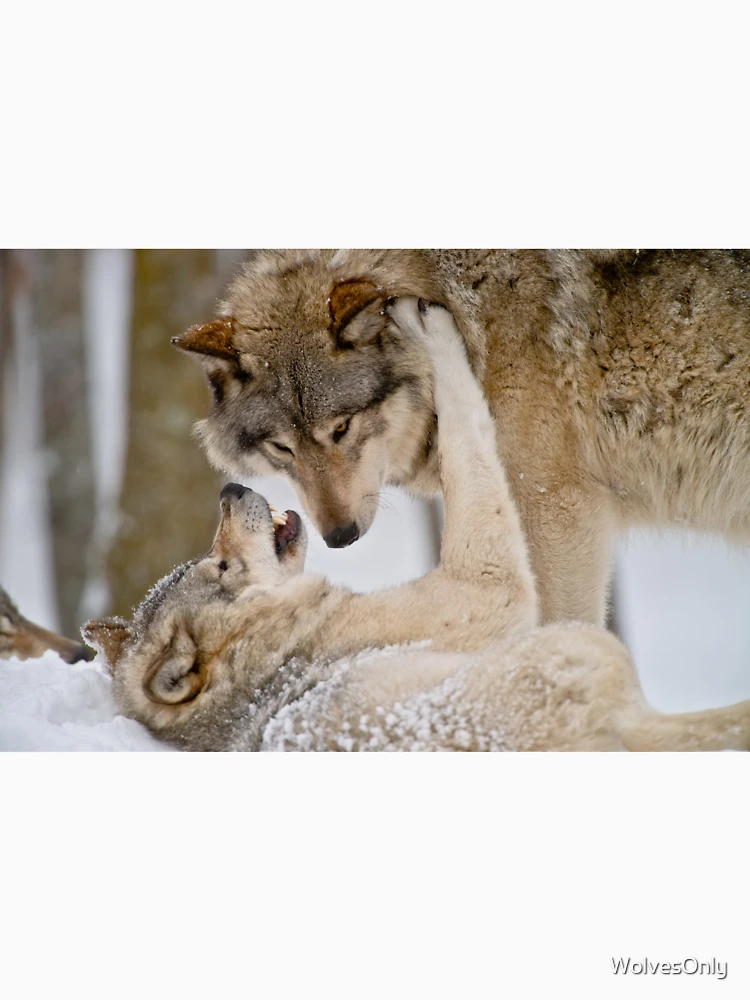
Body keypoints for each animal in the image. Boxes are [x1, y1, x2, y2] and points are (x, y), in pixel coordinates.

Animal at [84, 300, 750, 751]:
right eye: (219, 566)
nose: (229, 490)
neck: (278, 644)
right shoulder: (488, 584)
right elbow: (465, 433)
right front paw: (426, 328)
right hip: (585, 643)